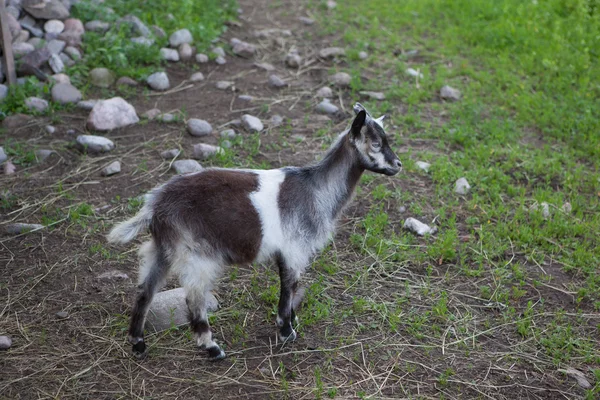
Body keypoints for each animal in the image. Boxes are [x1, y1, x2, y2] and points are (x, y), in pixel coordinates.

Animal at [109, 103, 404, 360]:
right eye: (376, 143)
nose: (398, 165)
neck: (316, 189)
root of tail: (155, 205)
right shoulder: (293, 249)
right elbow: (288, 287)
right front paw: (286, 331)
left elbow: (291, 287)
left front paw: (291, 322)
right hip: (195, 253)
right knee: (194, 299)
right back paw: (212, 348)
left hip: (163, 249)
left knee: (145, 291)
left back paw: (138, 344)